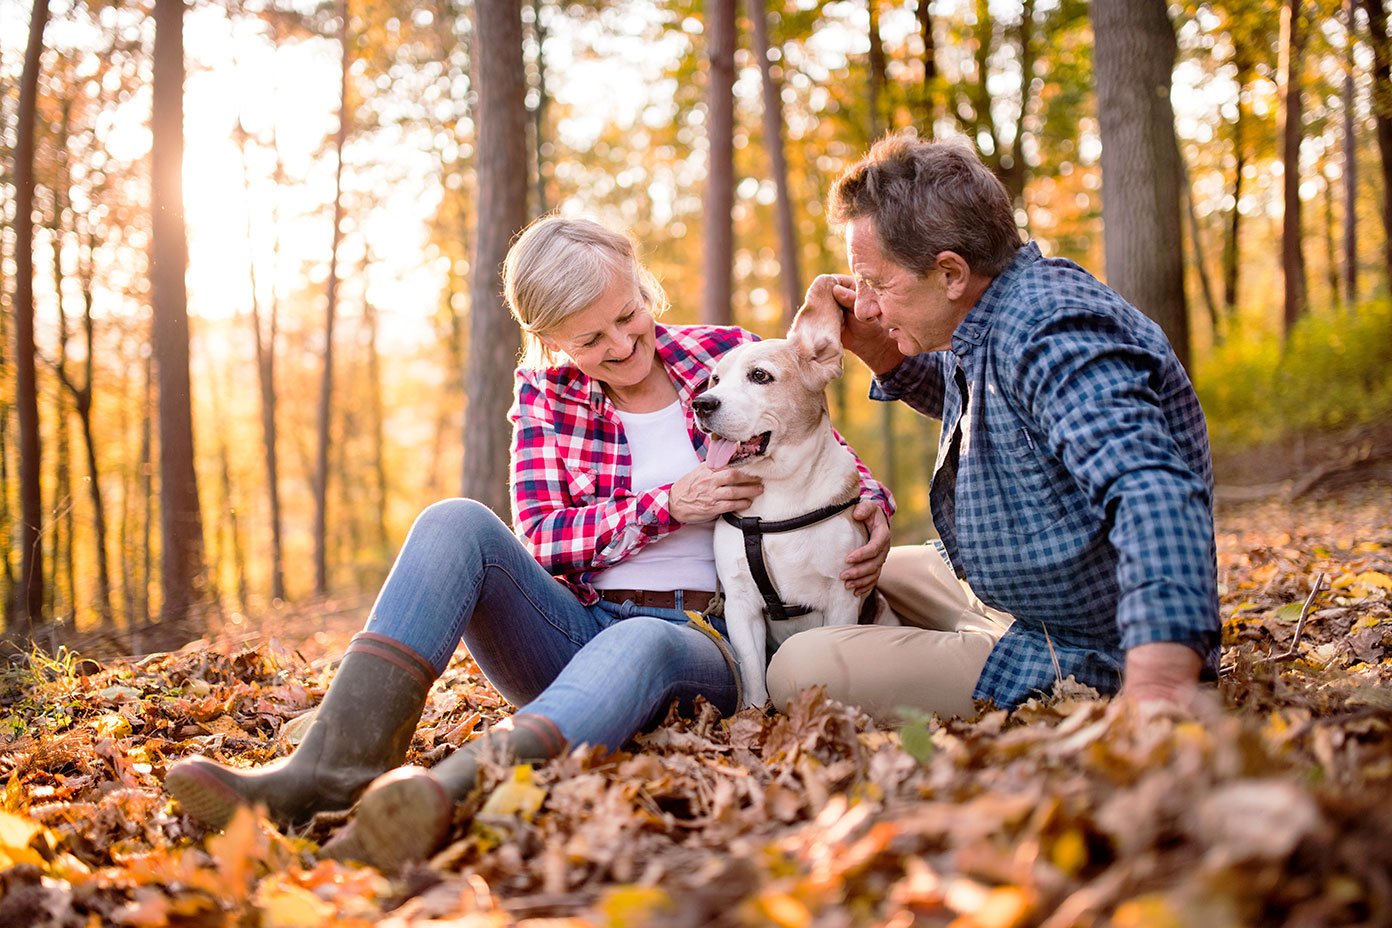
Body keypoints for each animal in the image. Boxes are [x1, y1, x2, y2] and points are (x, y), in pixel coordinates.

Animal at [696, 301, 868, 706]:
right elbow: (753, 676)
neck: (779, 491)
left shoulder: (843, 598)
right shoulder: (740, 605)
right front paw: (753, 716)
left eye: (759, 375)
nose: (701, 404)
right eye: (714, 380)